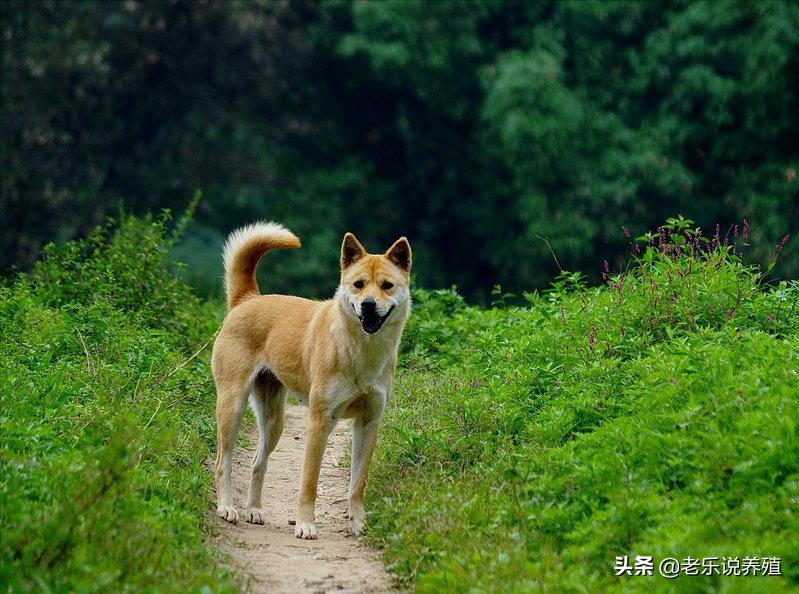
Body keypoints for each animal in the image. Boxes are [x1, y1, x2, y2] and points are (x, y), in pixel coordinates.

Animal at [212, 221, 412, 536]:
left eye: (386, 285)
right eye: (358, 284)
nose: (368, 305)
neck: (360, 352)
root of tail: (247, 299)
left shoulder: (368, 423)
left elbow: (358, 484)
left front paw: (359, 523)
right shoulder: (320, 421)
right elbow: (309, 482)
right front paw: (305, 524)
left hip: (273, 421)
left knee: (258, 463)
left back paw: (254, 510)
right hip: (232, 407)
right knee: (223, 462)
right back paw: (226, 508)